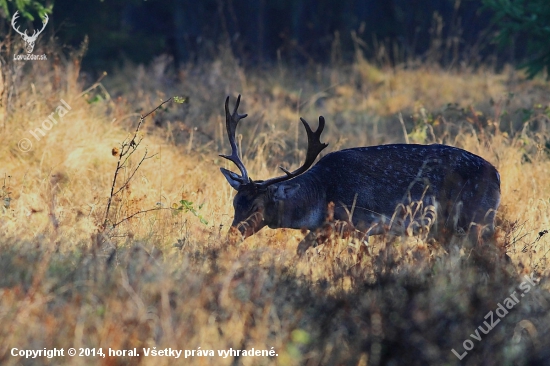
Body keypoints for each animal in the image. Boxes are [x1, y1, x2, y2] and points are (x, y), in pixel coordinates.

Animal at [220, 94, 500, 254]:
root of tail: (497, 176)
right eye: (235, 203)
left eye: (257, 206)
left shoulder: (362, 223)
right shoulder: (326, 230)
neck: (321, 197)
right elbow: (300, 249)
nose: (231, 236)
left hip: (475, 220)